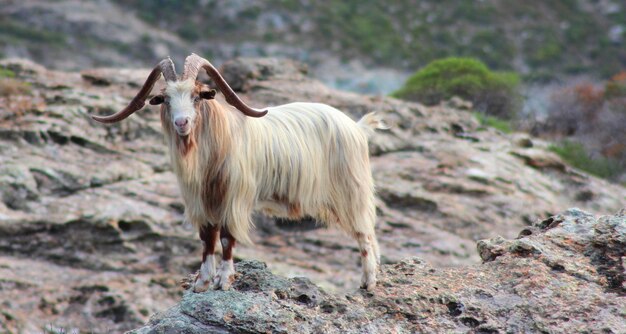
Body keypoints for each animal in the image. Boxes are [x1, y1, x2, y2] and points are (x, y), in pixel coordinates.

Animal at [91, 53, 386, 290]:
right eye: (165, 99)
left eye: (196, 96)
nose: (181, 122)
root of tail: (357, 127)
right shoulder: (202, 202)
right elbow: (207, 239)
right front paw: (202, 283)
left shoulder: (233, 198)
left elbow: (226, 238)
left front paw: (223, 281)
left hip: (352, 190)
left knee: (365, 234)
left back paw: (368, 283)